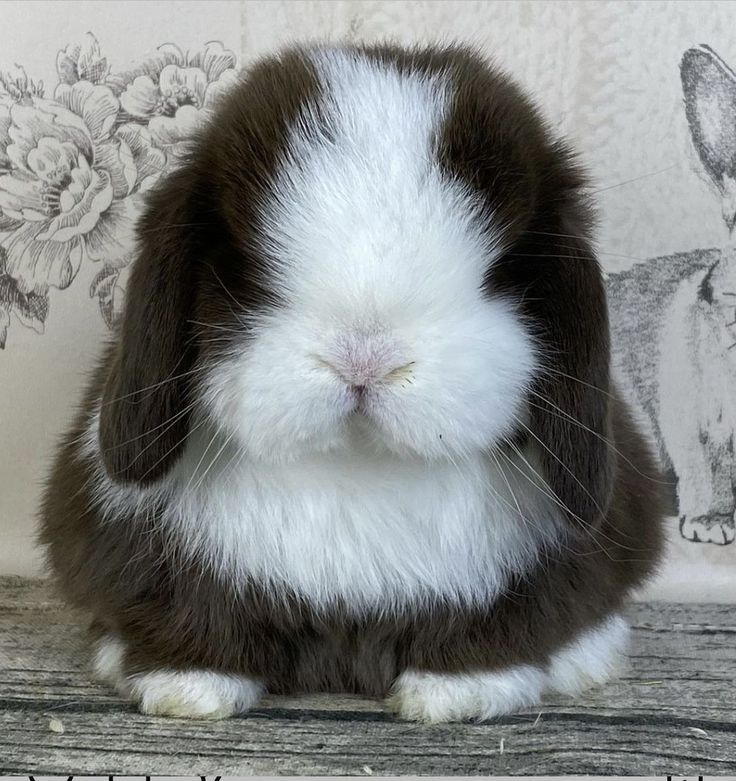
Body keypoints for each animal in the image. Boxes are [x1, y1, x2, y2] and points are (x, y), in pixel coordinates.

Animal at [37, 42, 664, 724]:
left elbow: (500, 628)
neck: (360, 464)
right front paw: (186, 689)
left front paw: (459, 694)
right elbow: (198, 623)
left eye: (500, 272)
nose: (365, 358)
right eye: (250, 268)